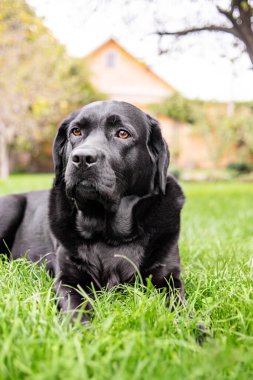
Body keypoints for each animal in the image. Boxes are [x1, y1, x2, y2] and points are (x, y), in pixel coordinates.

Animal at [0, 101, 186, 324]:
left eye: (122, 133)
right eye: (76, 131)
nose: (82, 158)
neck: (109, 235)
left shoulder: (168, 277)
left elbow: (181, 309)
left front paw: (197, 330)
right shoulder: (69, 280)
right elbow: (77, 310)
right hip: (10, 207)